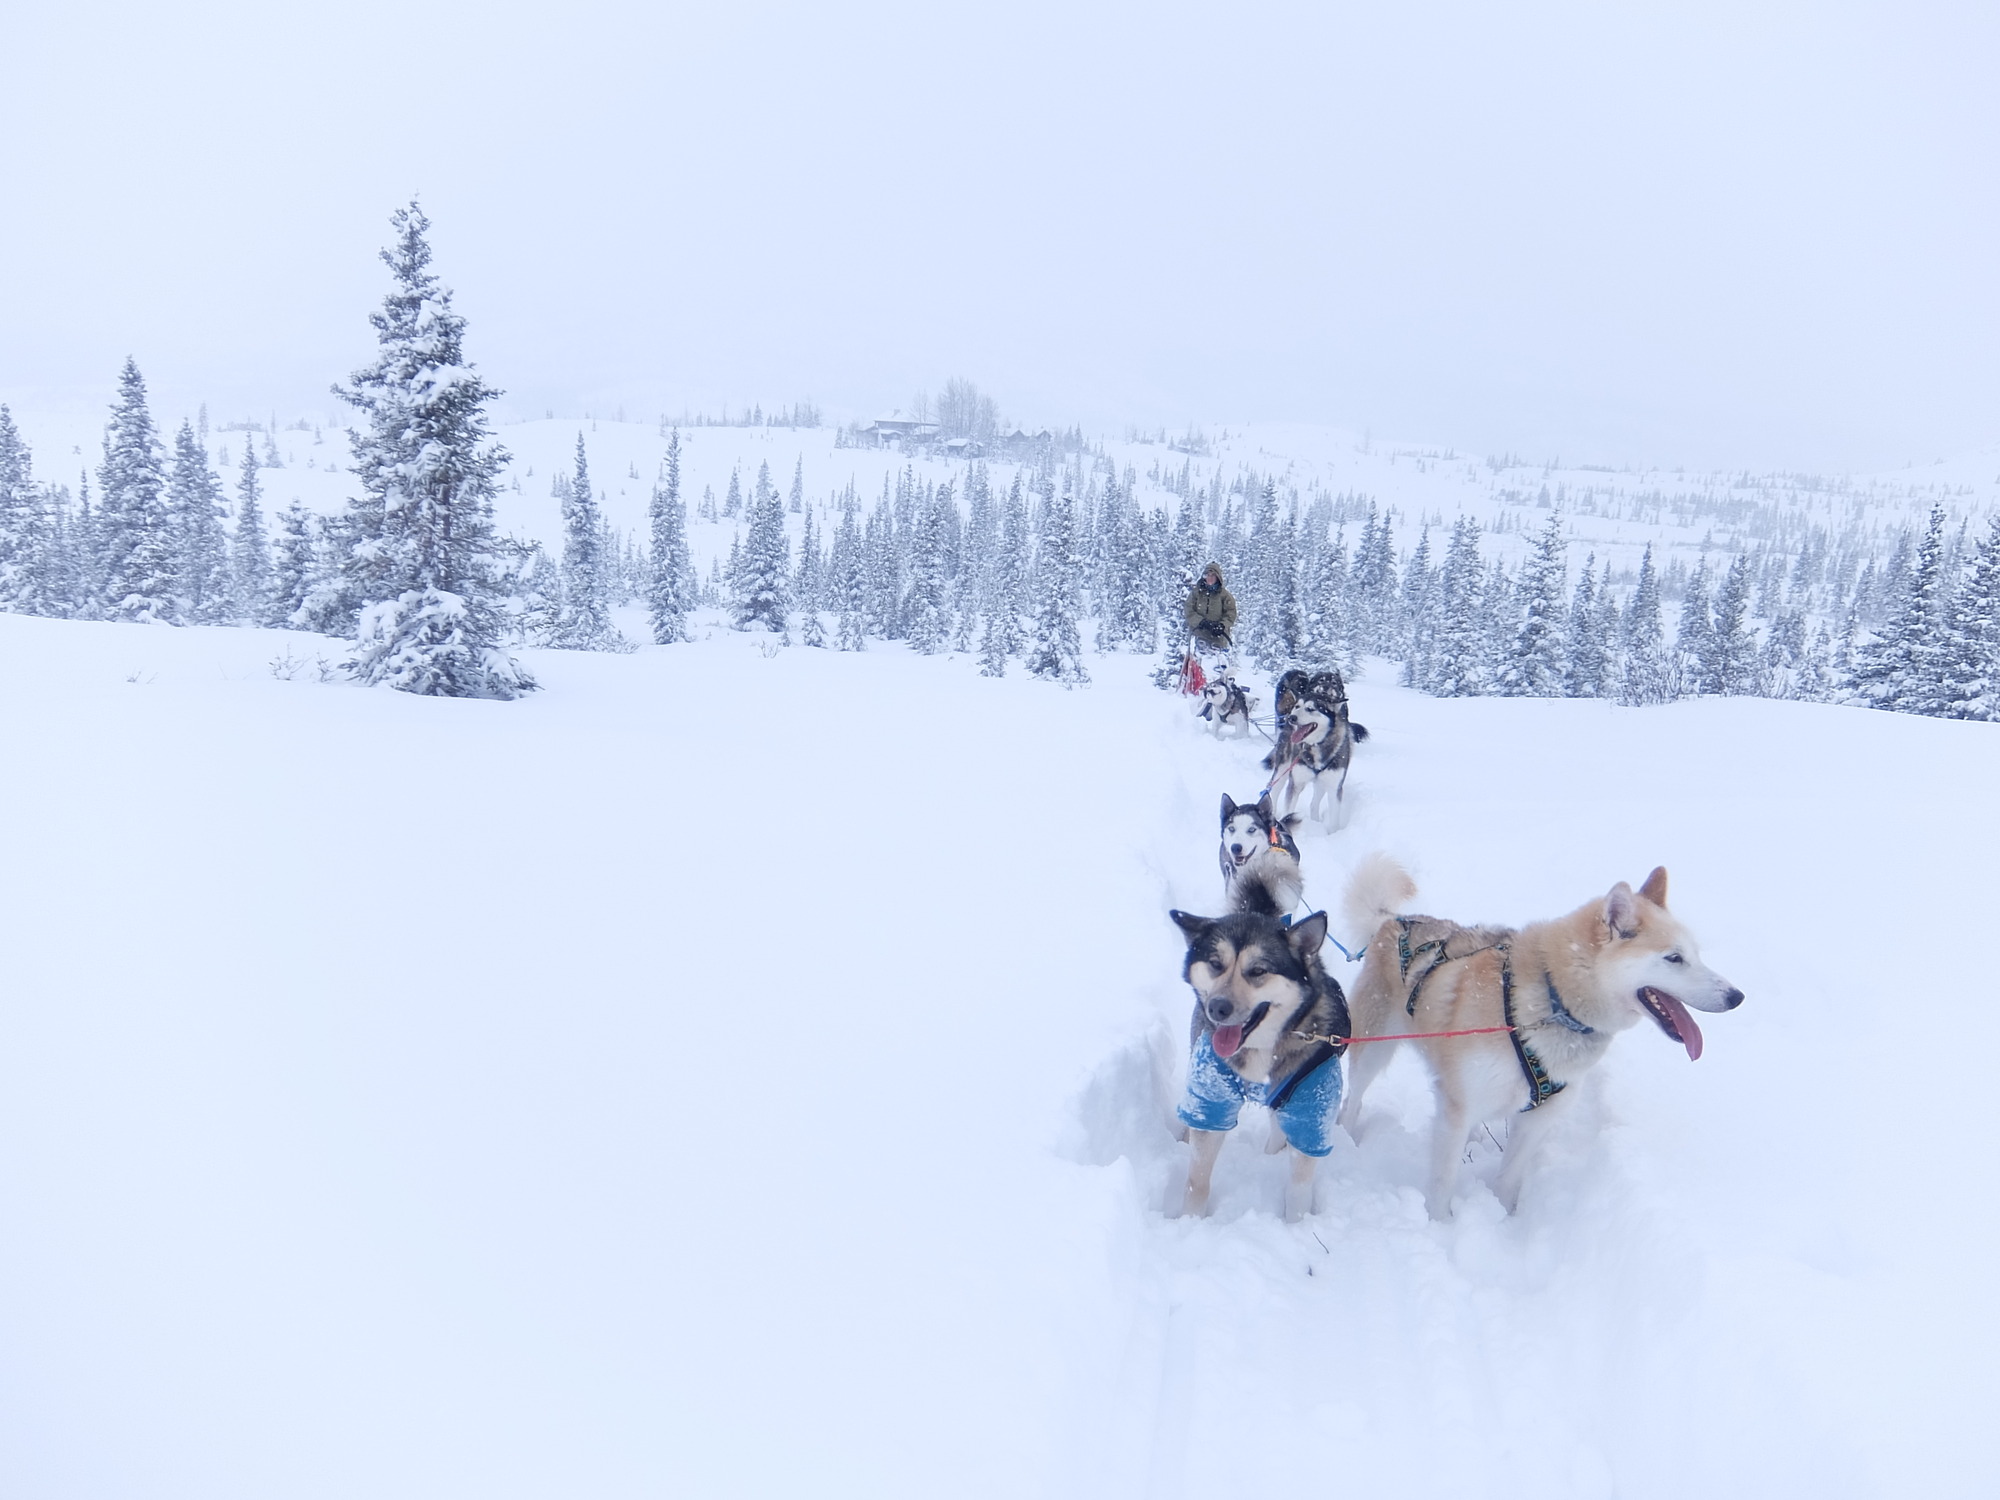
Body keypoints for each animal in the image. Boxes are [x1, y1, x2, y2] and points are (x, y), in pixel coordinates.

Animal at [1272, 676, 1368, 828]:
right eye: (1297, 706)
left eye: (1310, 709)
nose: (1291, 718)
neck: (1316, 745)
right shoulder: (1295, 784)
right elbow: (1288, 812)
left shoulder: (1334, 788)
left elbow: (1334, 821)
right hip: (1282, 769)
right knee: (1273, 792)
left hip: (1321, 783)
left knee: (1313, 804)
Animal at [1336, 856, 1744, 1224]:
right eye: (1674, 958)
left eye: (1696, 954)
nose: (1736, 996)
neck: (1552, 1002)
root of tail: (1391, 920)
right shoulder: (1456, 1110)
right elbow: (1442, 1184)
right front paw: (1439, 1229)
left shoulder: (1537, 1119)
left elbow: (1508, 1179)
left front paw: (1503, 1227)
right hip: (1373, 1049)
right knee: (1352, 1101)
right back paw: (1346, 1139)